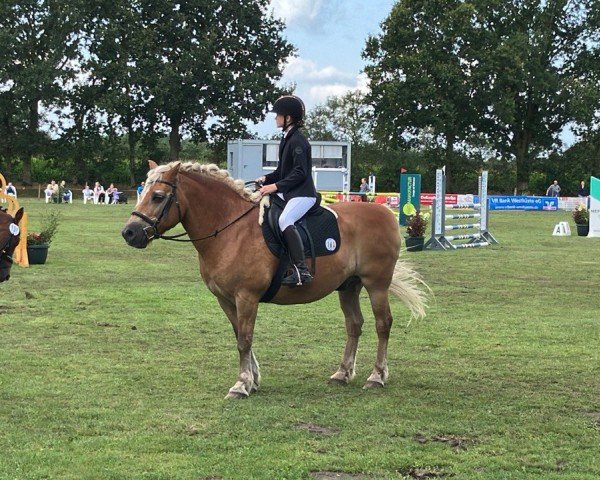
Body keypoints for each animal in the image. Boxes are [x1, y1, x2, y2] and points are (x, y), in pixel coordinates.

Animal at [122, 161, 428, 398]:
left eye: (157, 196)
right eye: (142, 192)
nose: (129, 233)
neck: (229, 229)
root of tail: (385, 212)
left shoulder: (246, 297)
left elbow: (244, 339)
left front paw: (241, 385)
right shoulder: (225, 299)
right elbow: (240, 335)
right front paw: (253, 379)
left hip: (376, 284)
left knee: (382, 324)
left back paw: (376, 376)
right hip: (348, 287)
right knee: (354, 325)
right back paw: (342, 374)